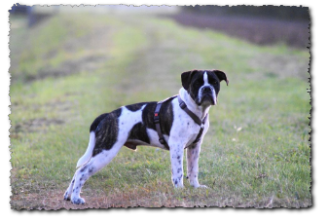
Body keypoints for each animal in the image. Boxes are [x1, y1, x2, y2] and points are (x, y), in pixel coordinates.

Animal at [63, 69, 228, 204]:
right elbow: (179, 172)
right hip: (106, 151)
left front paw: (196, 187)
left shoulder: (194, 146)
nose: (207, 88)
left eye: (214, 82)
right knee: (82, 172)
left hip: (100, 150)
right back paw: (76, 199)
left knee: (78, 170)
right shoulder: (177, 147)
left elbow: (193, 170)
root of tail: (106, 116)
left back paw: (68, 195)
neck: (192, 109)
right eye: (196, 83)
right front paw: (180, 190)